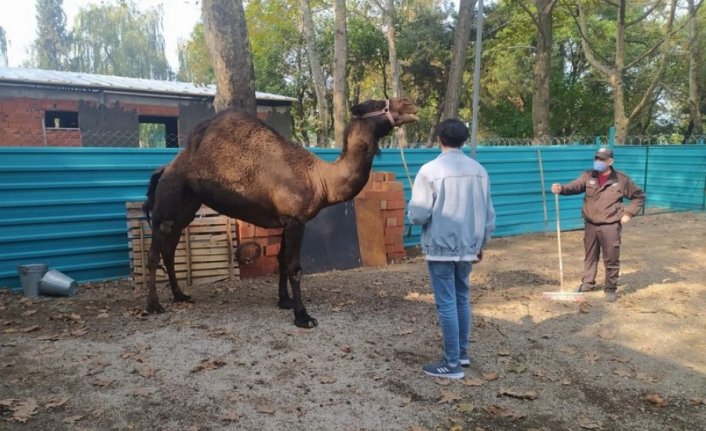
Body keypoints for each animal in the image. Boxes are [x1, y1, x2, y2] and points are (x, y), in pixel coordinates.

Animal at [143, 98, 418, 328]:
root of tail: (165, 170)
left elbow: (282, 261)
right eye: (376, 104)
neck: (321, 179)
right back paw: (154, 305)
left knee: (169, 251)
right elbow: (294, 267)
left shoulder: (287, 220)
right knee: (154, 254)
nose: (410, 105)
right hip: (167, 206)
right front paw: (303, 316)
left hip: (185, 209)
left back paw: (180, 295)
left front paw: (284, 302)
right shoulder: (296, 220)